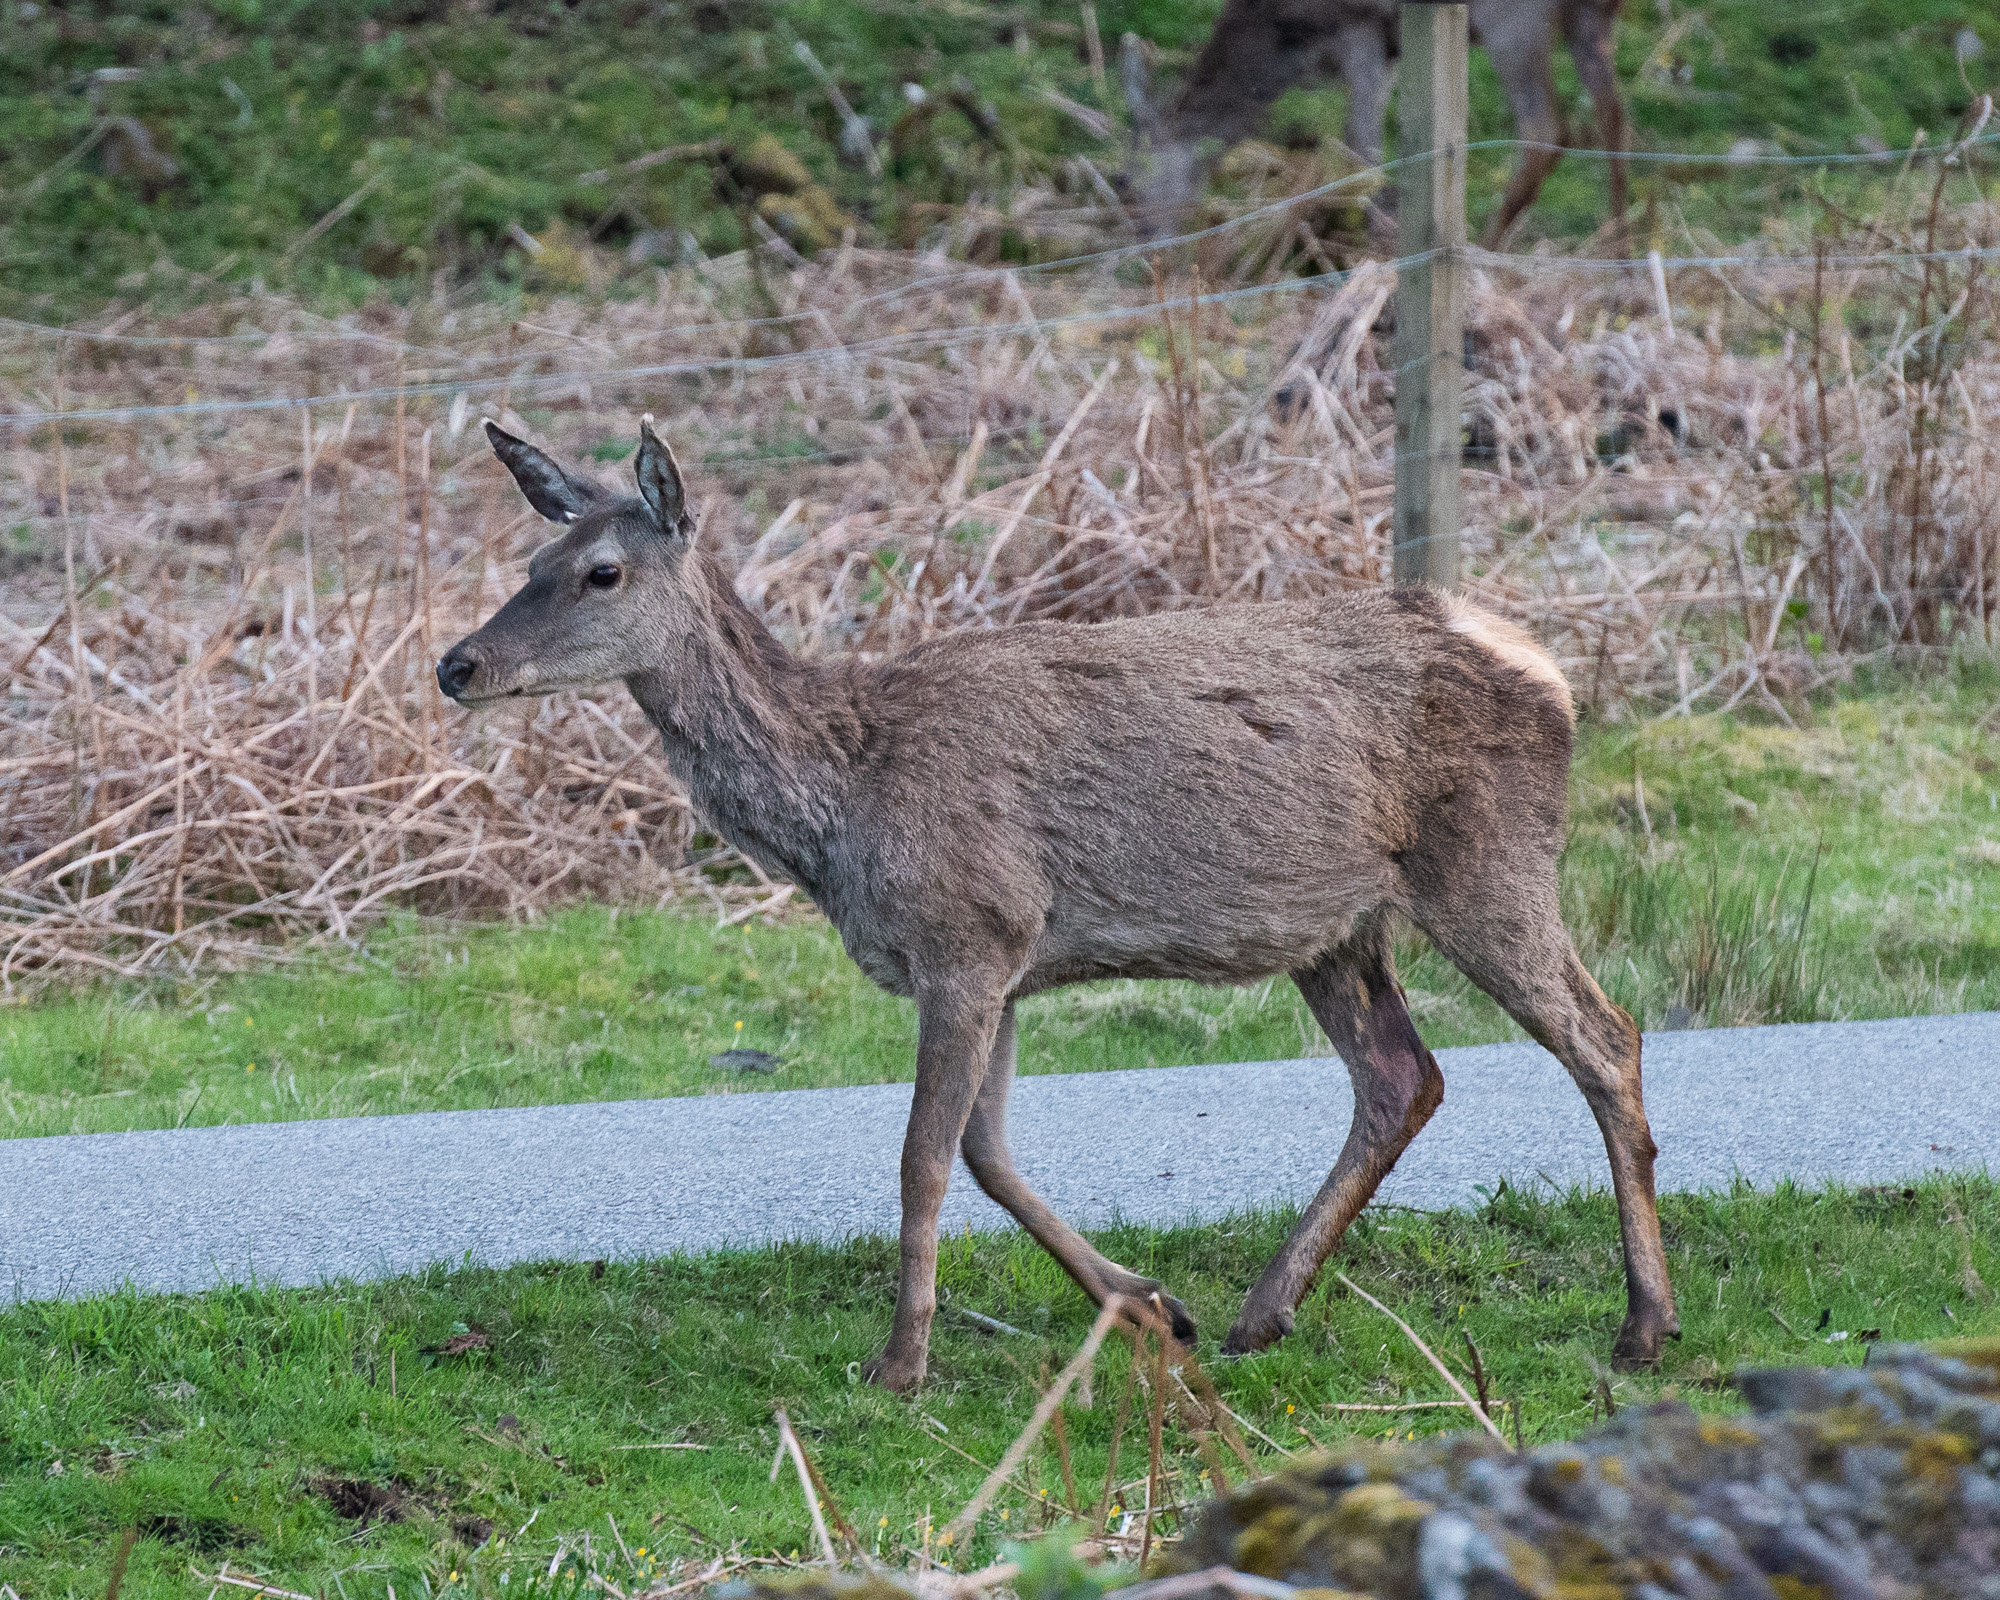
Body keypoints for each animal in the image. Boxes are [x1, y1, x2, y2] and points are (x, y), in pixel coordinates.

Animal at [442, 418, 1688, 1392]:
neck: (845, 799)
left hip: (1485, 862)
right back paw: (1260, 1310)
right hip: (1335, 923)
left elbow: (923, 1156)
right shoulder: (1003, 959)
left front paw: (898, 1363)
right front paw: (1147, 1303)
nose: (459, 664)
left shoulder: (965, 932)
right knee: (1400, 1076)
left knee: (1602, 1033)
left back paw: (1642, 1323)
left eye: (602, 570)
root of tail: (1543, 666)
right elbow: (988, 1150)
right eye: (536, 551)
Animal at [1128, 0, 1624, 248]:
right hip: (1592, 16)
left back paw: (1485, 246)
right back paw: (1620, 249)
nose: (1145, 248)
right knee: (1612, 112)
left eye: (1125, 184)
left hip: (1513, 20)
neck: (1286, 40)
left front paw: (1370, 245)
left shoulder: (1359, 27)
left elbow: (1363, 143)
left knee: (1546, 129)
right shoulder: (1389, 45)